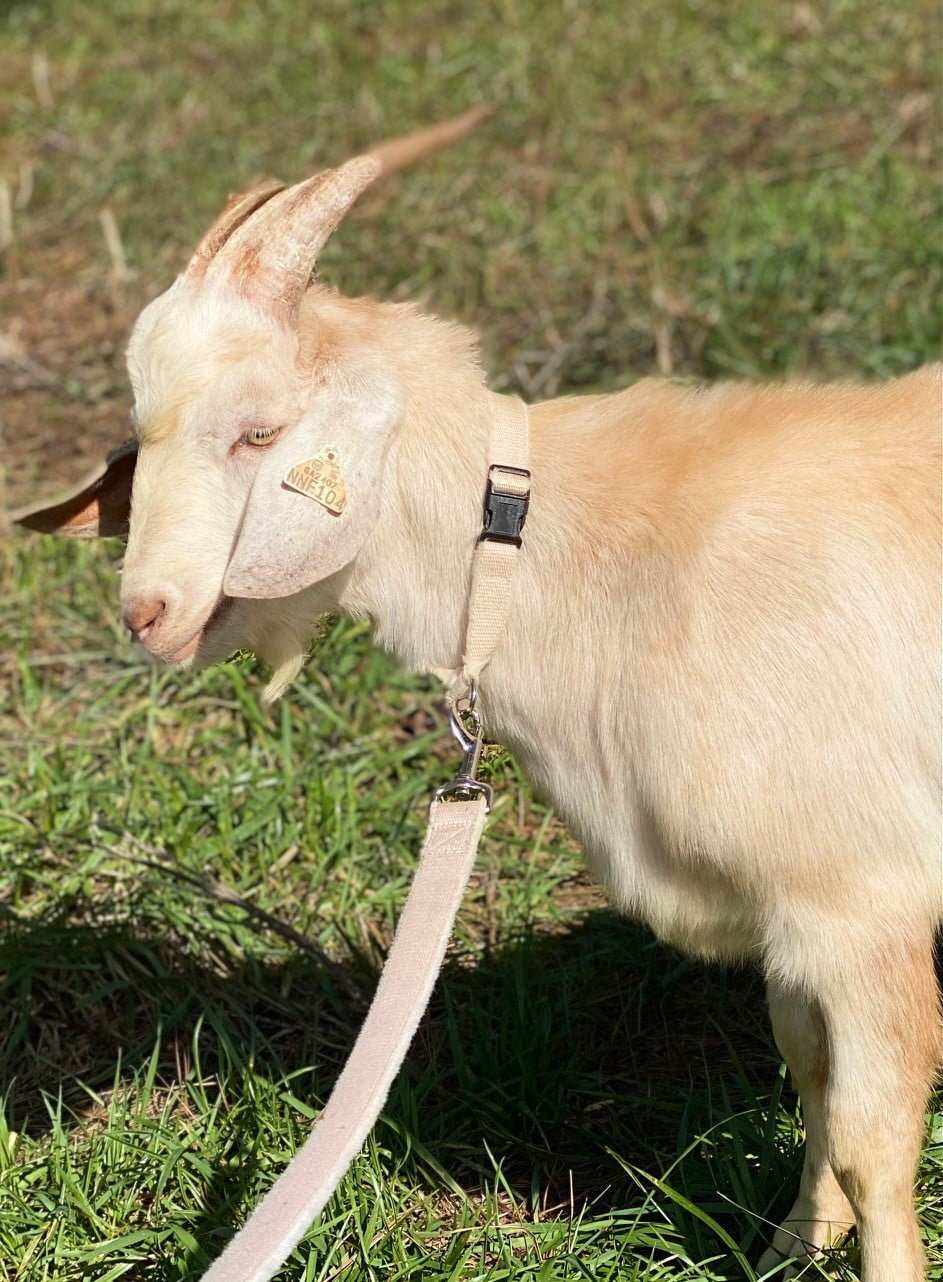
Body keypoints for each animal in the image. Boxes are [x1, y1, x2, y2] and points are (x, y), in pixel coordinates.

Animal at [13, 125, 942, 1281]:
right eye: (142, 435)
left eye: (259, 434)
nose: (146, 612)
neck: (552, 551)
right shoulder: (792, 915)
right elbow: (806, 1072)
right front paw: (789, 1244)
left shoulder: (861, 898)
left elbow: (868, 1140)